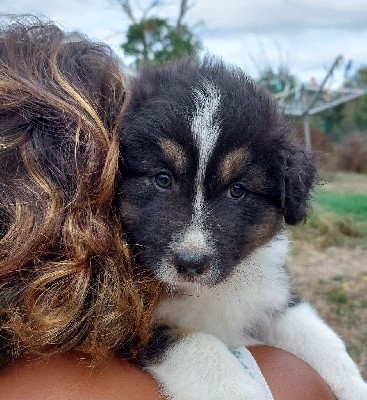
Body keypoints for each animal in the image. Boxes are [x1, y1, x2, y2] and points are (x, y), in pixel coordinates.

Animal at [119, 57, 366, 400]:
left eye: (237, 190)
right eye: (162, 179)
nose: (190, 263)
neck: (215, 290)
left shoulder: (274, 296)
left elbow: (320, 336)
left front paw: (355, 386)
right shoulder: (134, 326)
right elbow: (204, 350)